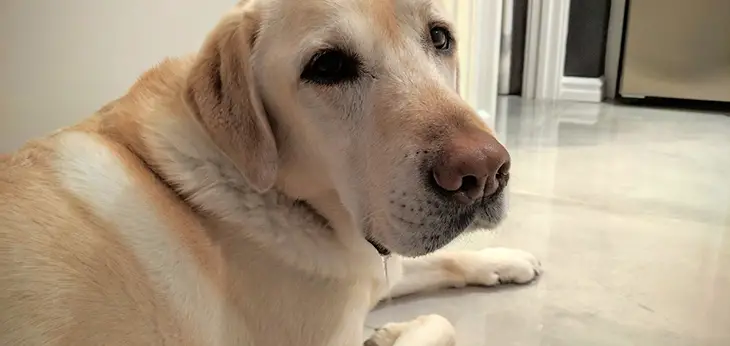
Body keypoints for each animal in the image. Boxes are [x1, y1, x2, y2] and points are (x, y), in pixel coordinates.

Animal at [0, 0, 536, 346]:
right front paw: (388, 333)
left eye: (440, 37)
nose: (485, 172)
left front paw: (505, 259)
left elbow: (435, 264)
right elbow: (439, 322)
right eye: (327, 66)